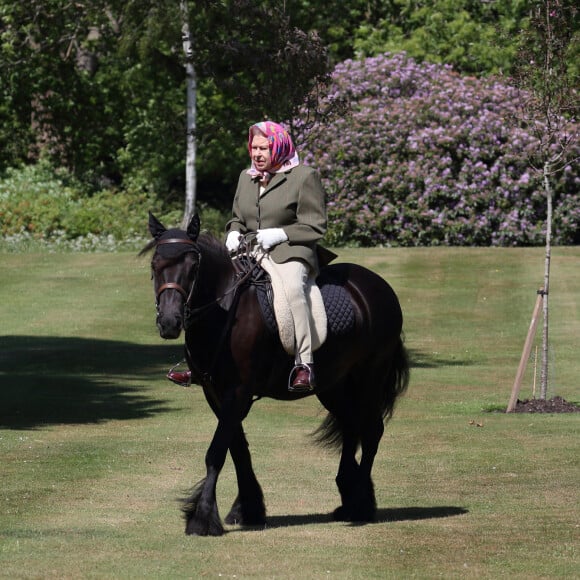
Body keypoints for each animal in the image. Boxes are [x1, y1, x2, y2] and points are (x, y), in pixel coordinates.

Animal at [143, 213, 410, 536]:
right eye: (155, 265)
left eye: (194, 267)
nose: (170, 323)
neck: (224, 310)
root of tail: (378, 286)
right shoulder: (215, 392)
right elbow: (237, 448)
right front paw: (247, 509)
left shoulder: (238, 391)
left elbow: (217, 451)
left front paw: (203, 517)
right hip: (333, 385)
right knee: (351, 426)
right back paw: (349, 497)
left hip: (369, 377)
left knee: (371, 431)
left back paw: (360, 504)